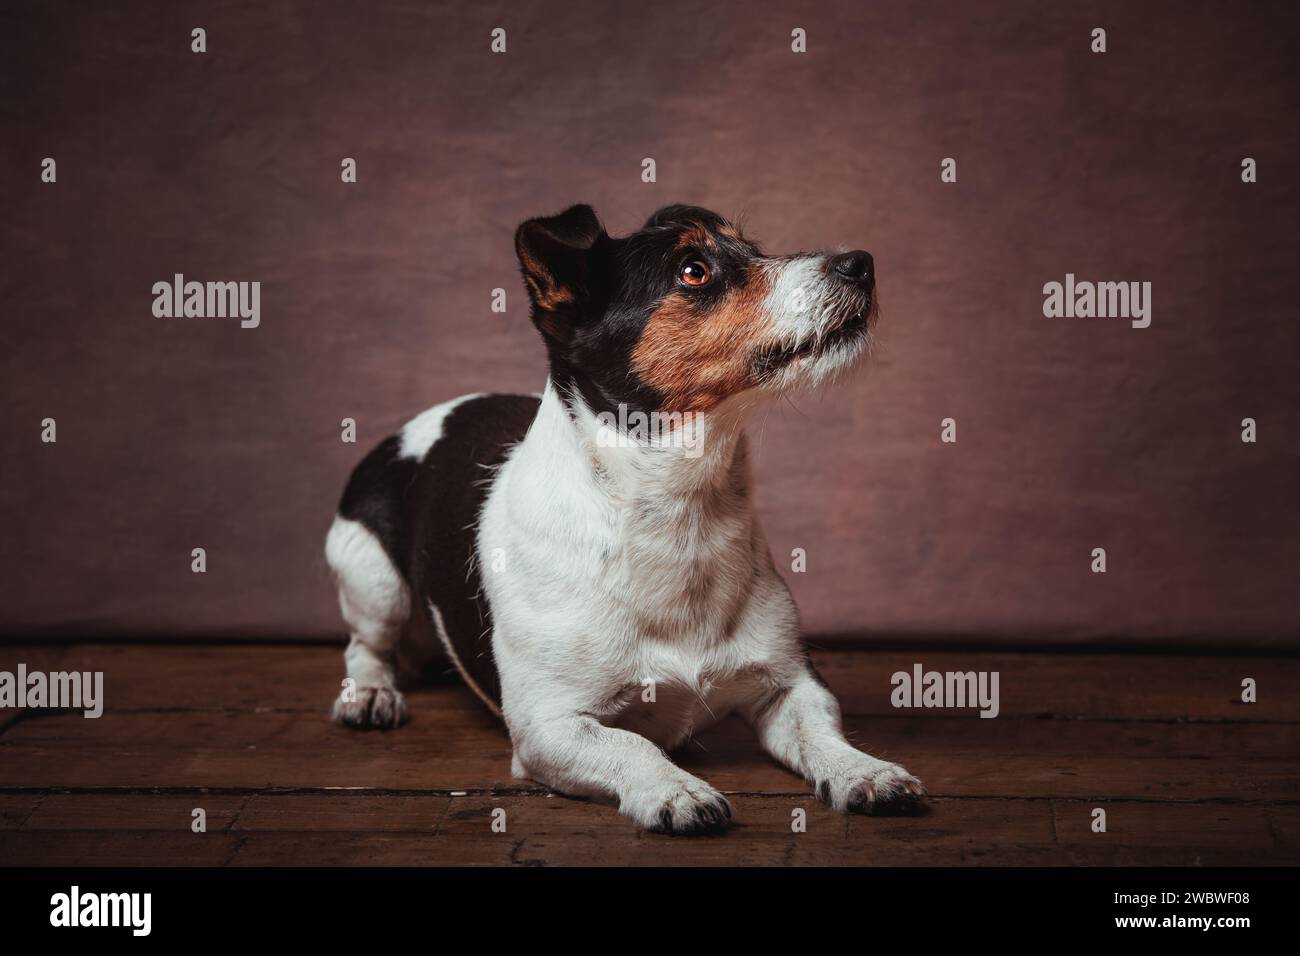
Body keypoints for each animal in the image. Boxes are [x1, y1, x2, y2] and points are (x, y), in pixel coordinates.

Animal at [330, 205, 930, 832]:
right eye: (694, 270)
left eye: (753, 247)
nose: (861, 263)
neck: (681, 516)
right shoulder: (549, 725)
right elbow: (630, 744)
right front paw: (677, 789)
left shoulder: (792, 686)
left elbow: (823, 736)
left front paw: (865, 771)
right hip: (371, 575)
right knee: (365, 645)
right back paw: (370, 694)